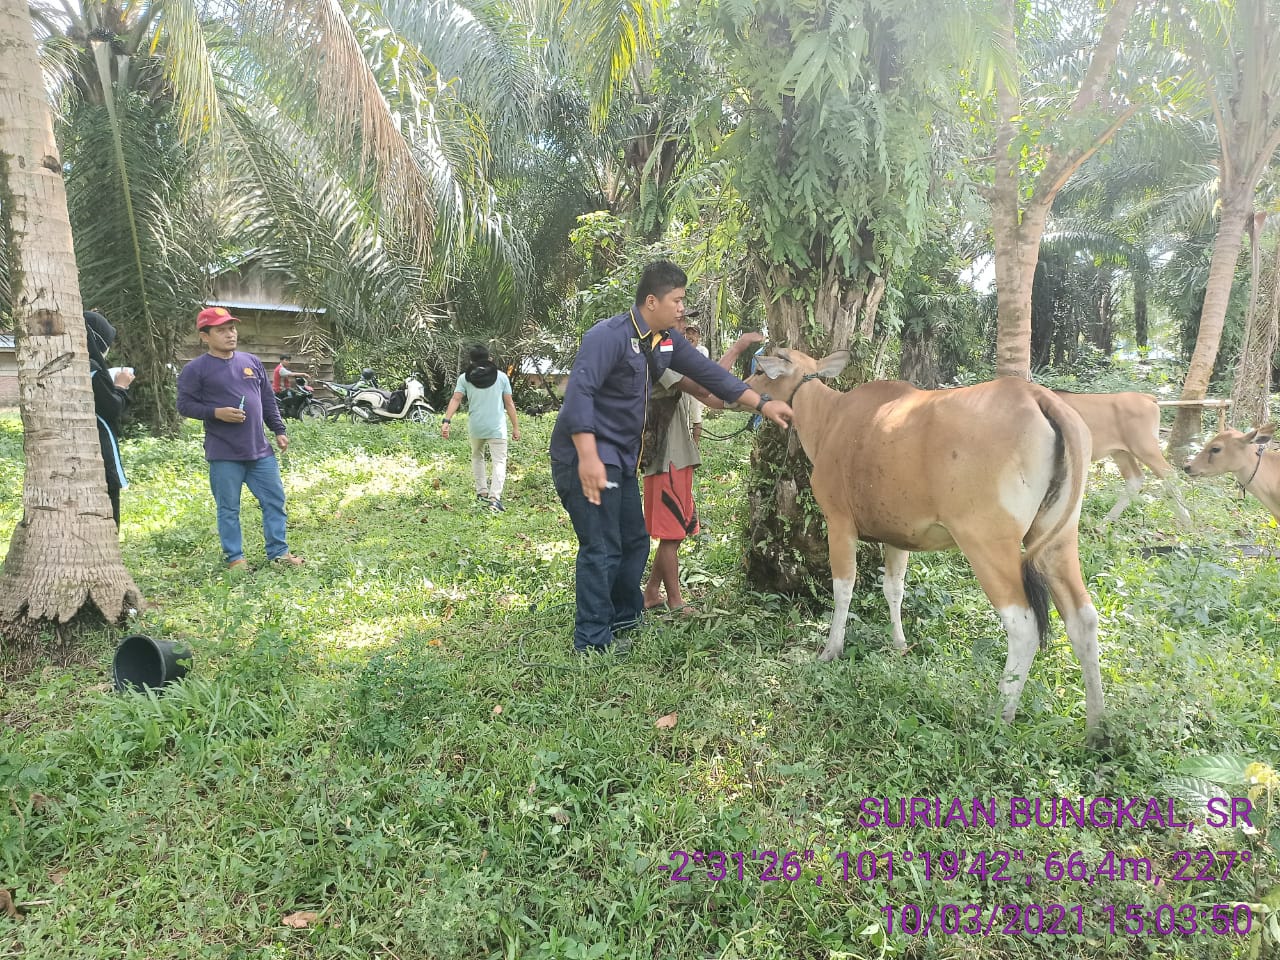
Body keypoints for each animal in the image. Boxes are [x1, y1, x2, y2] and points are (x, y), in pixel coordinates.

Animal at [752, 350, 1105, 737]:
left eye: (760, 370)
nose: (744, 387)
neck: (830, 417)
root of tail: (1038, 397)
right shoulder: (897, 536)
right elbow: (894, 589)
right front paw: (900, 645)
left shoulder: (839, 522)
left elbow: (843, 588)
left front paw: (832, 649)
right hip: (1058, 537)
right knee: (1083, 618)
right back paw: (1098, 727)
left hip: (987, 541)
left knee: (1023, 624)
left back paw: (1001, 714)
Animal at [1049, 391, 1187, 527]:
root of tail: (1146, 397)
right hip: (1121, 452)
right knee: (1135, 478)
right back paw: (1104, 523)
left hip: (1145, 448)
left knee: (1170, 475)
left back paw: (1186, 520)